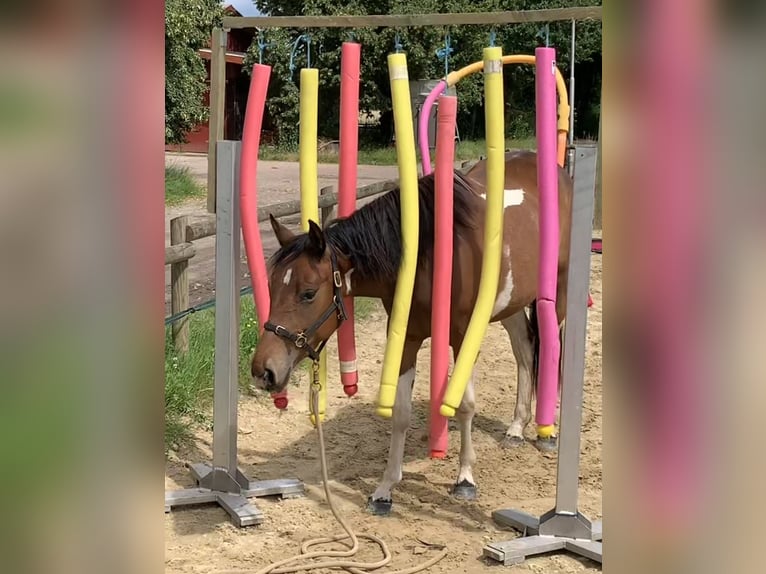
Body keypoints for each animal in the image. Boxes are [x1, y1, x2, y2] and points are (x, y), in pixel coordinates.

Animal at [250, 151, 568, 516]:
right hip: (512, 303)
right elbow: (400, 413)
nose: (263, 370)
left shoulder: (461, 336)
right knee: (525, 351)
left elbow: (465, 405)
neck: (427, 256)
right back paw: (516, 428)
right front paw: (385, 489)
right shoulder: (407, 337)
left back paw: (547, 433)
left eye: (308, 293)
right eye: (272, 285)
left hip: (556, 294)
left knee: (552, 352)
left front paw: (465, 479)